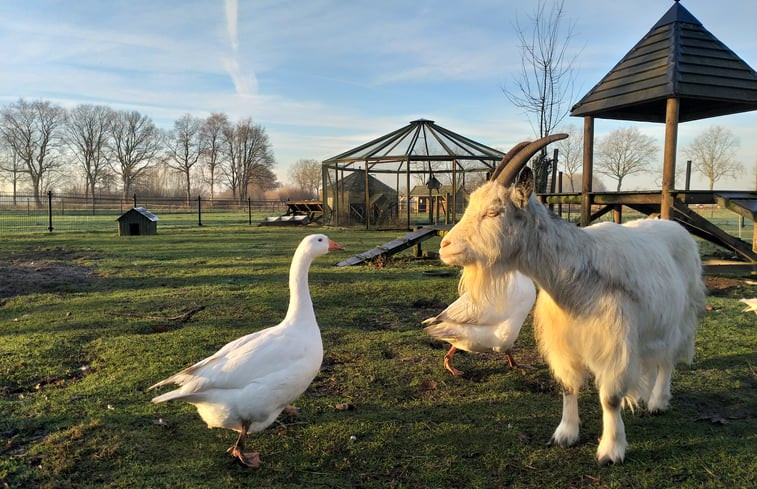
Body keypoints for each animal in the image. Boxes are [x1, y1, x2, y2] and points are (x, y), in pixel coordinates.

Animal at [440, 134, 704, 466]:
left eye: (493, 212)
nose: (445, 246)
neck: (575, 274)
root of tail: (672, 225)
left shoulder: (615, 344)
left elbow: (610, 397)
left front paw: (611, 450)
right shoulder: (563, 341)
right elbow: (567, 386)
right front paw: (565, 434)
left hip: (678, 317)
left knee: (667, 359)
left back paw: (658, 401)